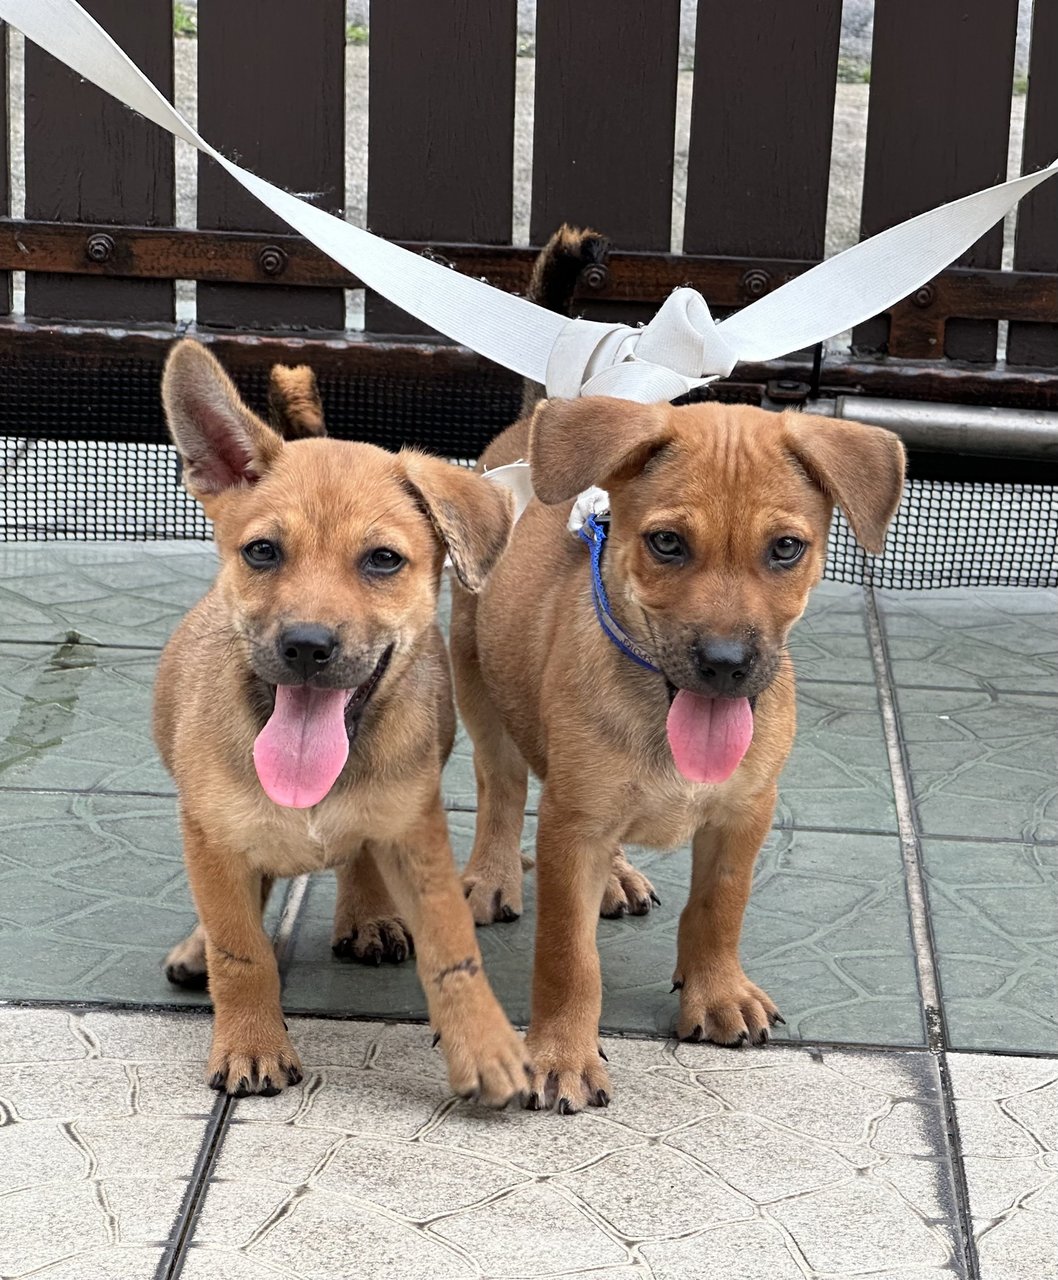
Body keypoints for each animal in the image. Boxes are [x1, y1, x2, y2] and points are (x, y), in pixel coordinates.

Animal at [152, 340, 524, 1100]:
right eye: (262, 551)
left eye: (383, 560)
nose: (306, 645)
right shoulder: (211, 832)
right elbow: (242, 949)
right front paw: (251, 1041)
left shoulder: (417, 833)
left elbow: (453, 951)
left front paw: (487, 1046)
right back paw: (200, 945)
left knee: (359, 854)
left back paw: (368, 913)